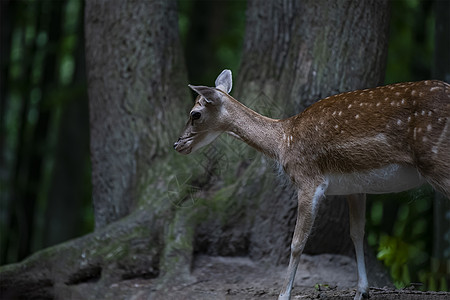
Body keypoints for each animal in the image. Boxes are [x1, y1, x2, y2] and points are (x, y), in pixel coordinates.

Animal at [172, 69, 450, 298]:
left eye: (195, 114)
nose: (177, 144)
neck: (282, 141)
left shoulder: (308, 179)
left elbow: (297, 243)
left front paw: (283, 295)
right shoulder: (355, 187)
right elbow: (357, 233)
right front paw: (362, 291)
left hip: (439, 161)